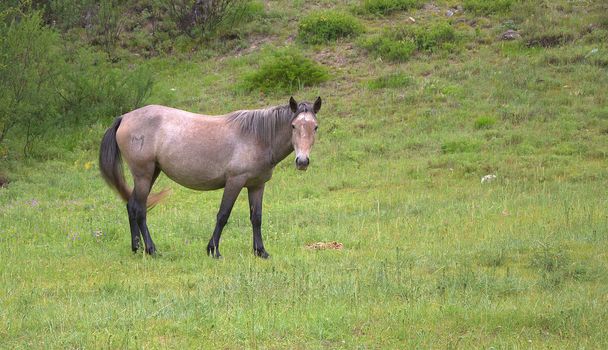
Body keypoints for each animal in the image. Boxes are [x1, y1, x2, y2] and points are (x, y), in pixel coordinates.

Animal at [97, 95, 320, 258]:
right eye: (293, 126)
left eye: (315, 127)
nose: (302, 161)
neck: (257, 136)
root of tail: (124, 117)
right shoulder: (235, 182)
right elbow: (223, 215)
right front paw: (213, 250)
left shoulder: (257, 185)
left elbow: (256, 218)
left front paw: (261, 252)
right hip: (143, 174)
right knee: (139, 209)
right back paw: (151, 249)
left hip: (151, 173)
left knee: (131, 205)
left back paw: (136, 248)